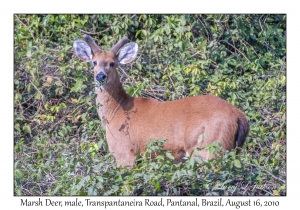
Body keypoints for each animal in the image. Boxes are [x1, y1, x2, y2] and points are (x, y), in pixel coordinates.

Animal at [72, 34, 248, 167]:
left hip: (208, 148)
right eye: (94, 62)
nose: (100, 76)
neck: (116, 110)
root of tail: (240, 117)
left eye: (112, 63)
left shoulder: (124, 152)